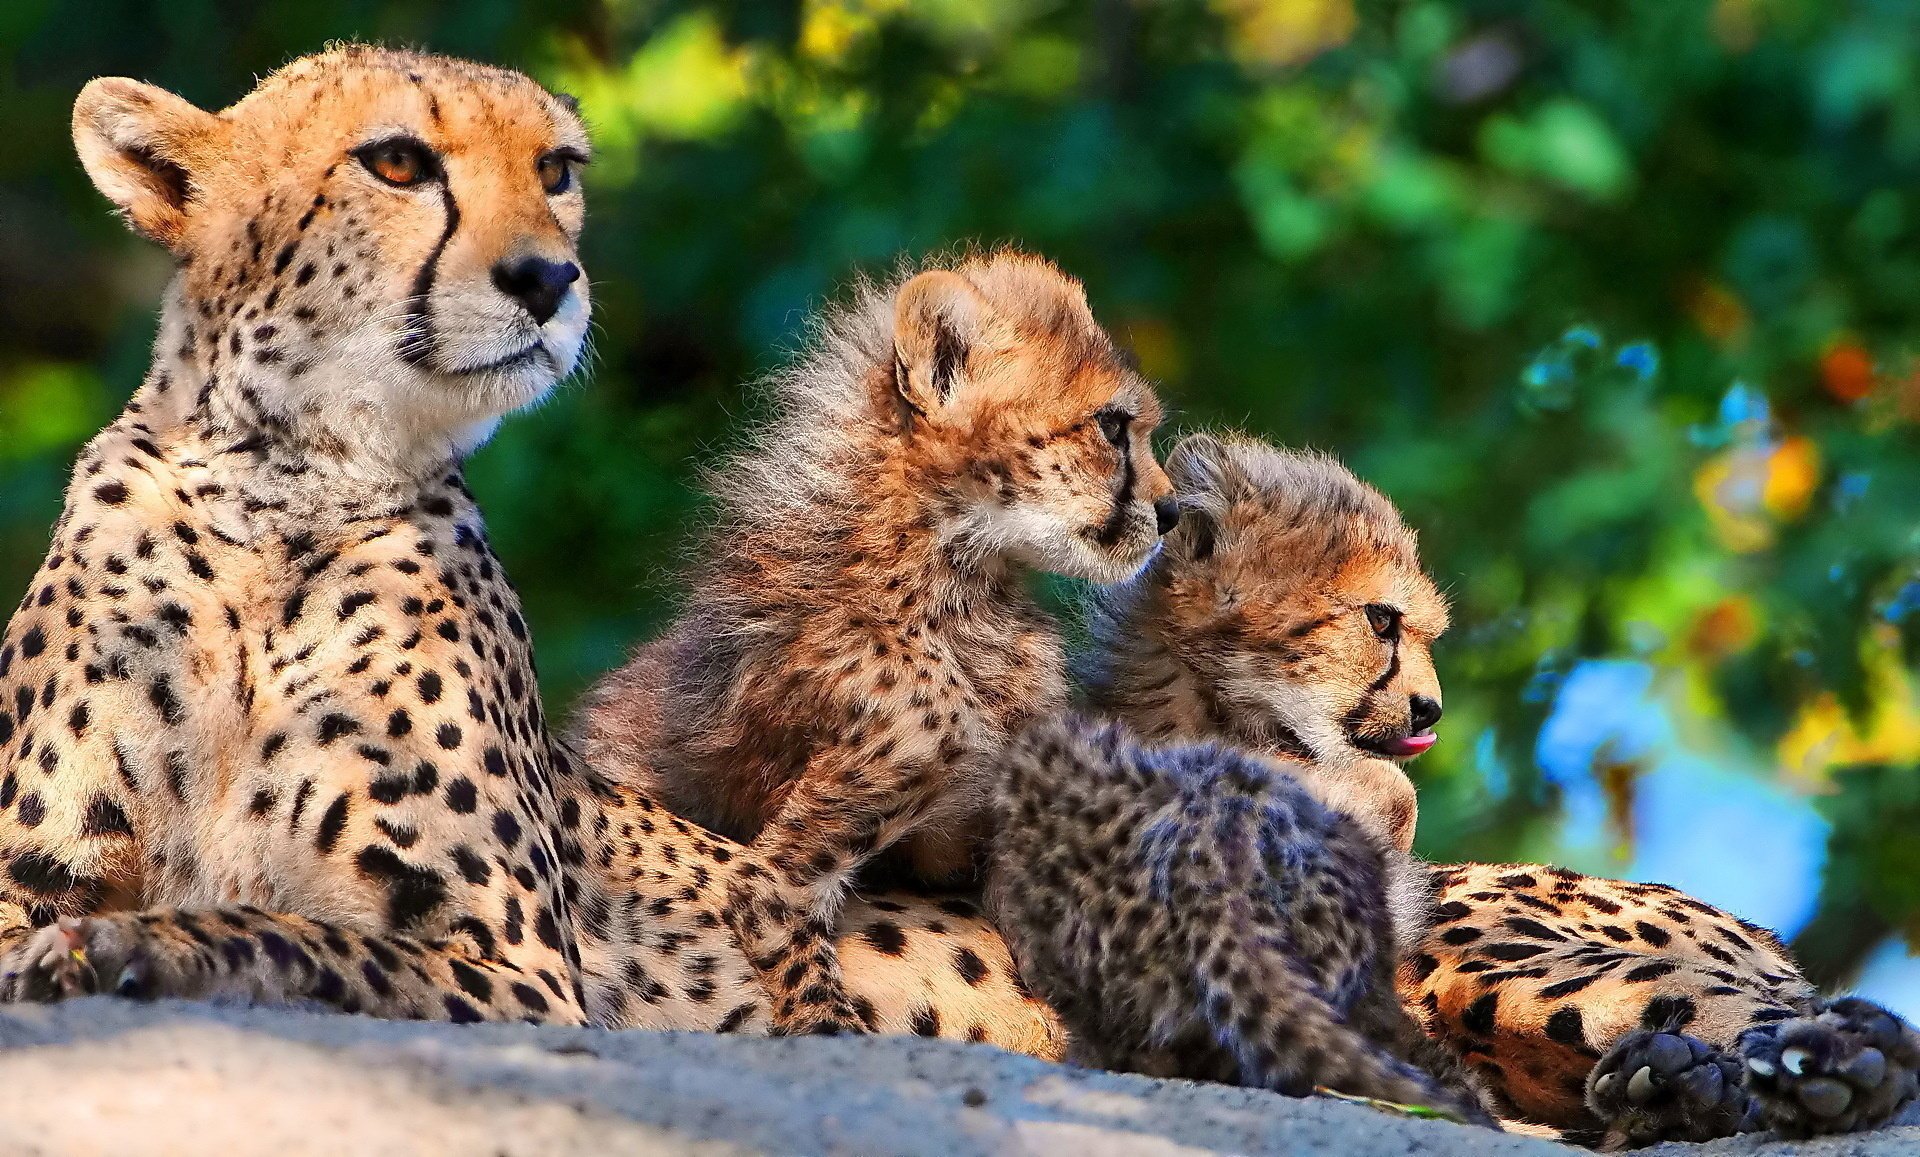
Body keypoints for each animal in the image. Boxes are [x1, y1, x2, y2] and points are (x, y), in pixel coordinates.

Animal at [0, 47, 1071, 1059]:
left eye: (555, 169)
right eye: (398, 161)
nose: (549, 279)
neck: (285, 497)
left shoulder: (525, 968)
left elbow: (288, 931)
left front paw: (132, 944)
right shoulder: (30, 876)